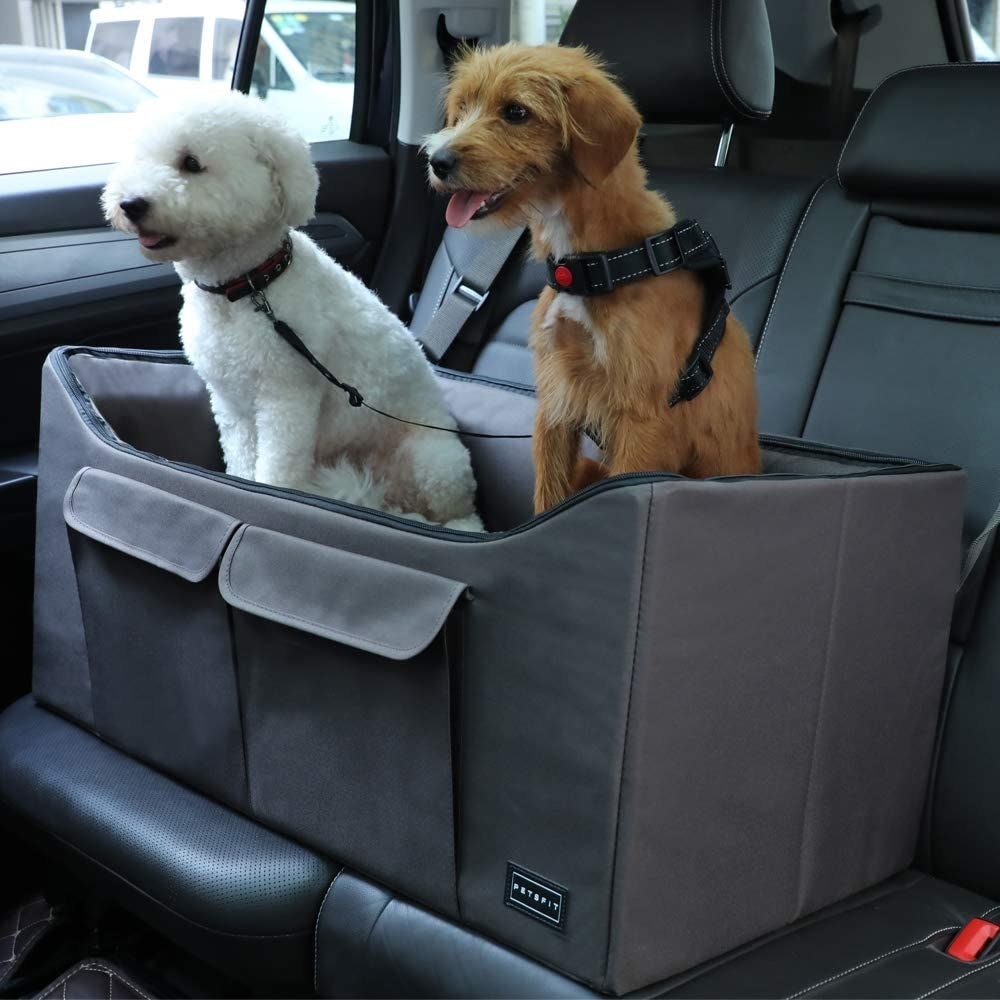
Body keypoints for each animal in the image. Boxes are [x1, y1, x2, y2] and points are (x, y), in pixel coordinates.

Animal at [104, 92, 484, 532]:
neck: (248, 287)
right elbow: (240, 461)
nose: (130, 204)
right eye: (139, 158)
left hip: (436, 460)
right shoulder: (232, 406)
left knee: (453, 516)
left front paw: (273, 502)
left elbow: (278, 473)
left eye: (191, 163)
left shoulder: (286, 399)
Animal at [426, 43, 760, 512]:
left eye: (516, 112)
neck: (590, 266)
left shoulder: (640, 418)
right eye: (462, 109)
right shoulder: (556, 398)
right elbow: (549, 495)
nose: (437, 160)